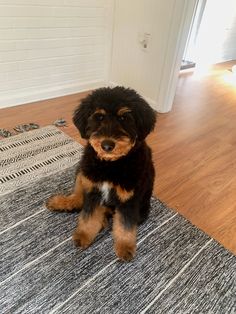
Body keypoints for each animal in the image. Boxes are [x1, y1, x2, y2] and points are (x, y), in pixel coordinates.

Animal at [46, 87, 157, 262]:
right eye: (99, 117)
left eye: (124, 118)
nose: (107, 145)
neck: (110, 164)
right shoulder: (93, 189)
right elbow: (88, 216)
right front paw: (84, 235)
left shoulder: (129, 199)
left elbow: (125, 225)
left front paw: (125, 247)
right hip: (83, 170)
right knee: (79, 197)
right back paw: (61, 202)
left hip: (142, 210)